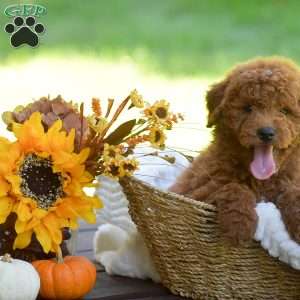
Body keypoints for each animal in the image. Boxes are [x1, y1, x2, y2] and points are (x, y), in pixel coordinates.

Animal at [170, 57, 300, 245]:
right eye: (248, 108)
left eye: (284, 111)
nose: (266, 133)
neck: (261, 180)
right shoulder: (196, 191)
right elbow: (232, 187)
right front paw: (239, 225)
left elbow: (293, 191)